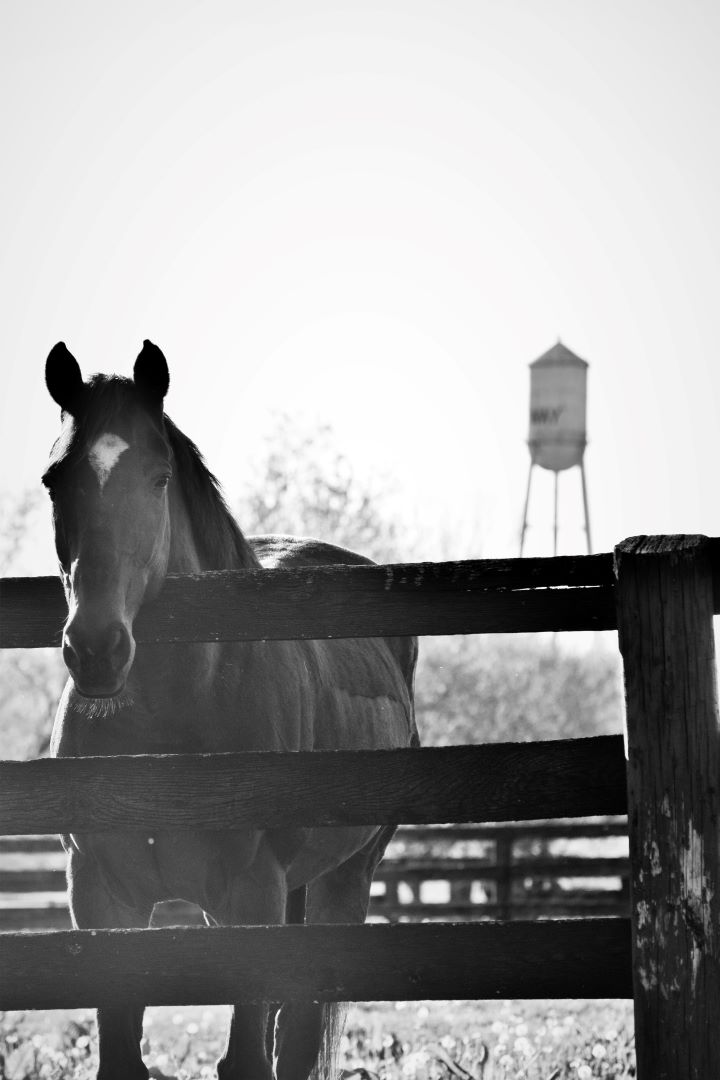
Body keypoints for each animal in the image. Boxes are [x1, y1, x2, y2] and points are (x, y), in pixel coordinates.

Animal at [42, 340, 418, 1080]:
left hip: (343, 881)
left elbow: (249, 1056)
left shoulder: (254, 895)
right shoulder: (100, 895)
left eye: (158, 478)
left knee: (297, 1035)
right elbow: (122, 1055)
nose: (96, 648)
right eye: (52, 481)